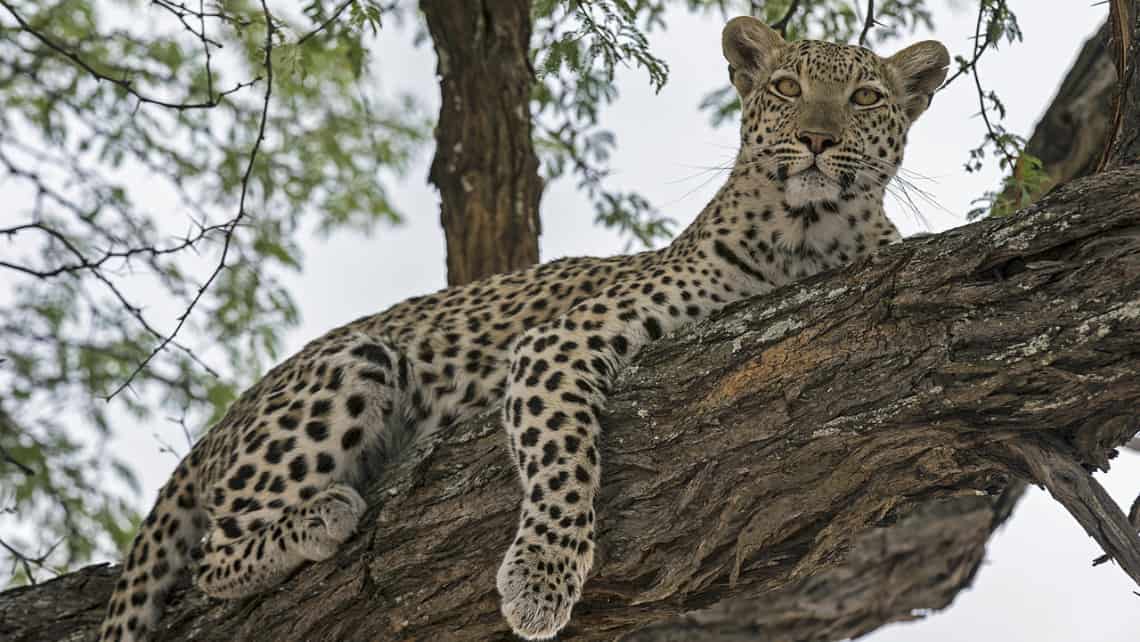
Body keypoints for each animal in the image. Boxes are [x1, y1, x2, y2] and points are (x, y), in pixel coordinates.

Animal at [98, 15, 948, 642]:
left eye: (864, 98)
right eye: (786, 87)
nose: (817, 139)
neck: (815, 233)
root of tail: (240, 403)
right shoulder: (558, 344)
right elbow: (562, 461)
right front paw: (541, 577)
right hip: (351, 363)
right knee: (212, 559)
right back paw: (318, 516)